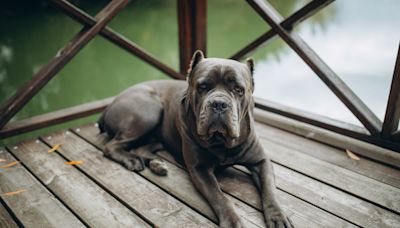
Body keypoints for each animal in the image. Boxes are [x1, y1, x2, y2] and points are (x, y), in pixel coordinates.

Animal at [99, 50, 294, 227]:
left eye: (238, 89)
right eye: (203, 87)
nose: (219, 103)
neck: (221, 142)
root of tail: (110, 104)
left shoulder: (261, 161)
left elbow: (270, 190)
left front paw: (278, 217)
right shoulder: (200, 170)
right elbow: (219, 196)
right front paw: (232, 221)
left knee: (141, 147)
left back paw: (157, 164)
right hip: (149, 110)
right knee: (111, 146)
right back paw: (132, 160)